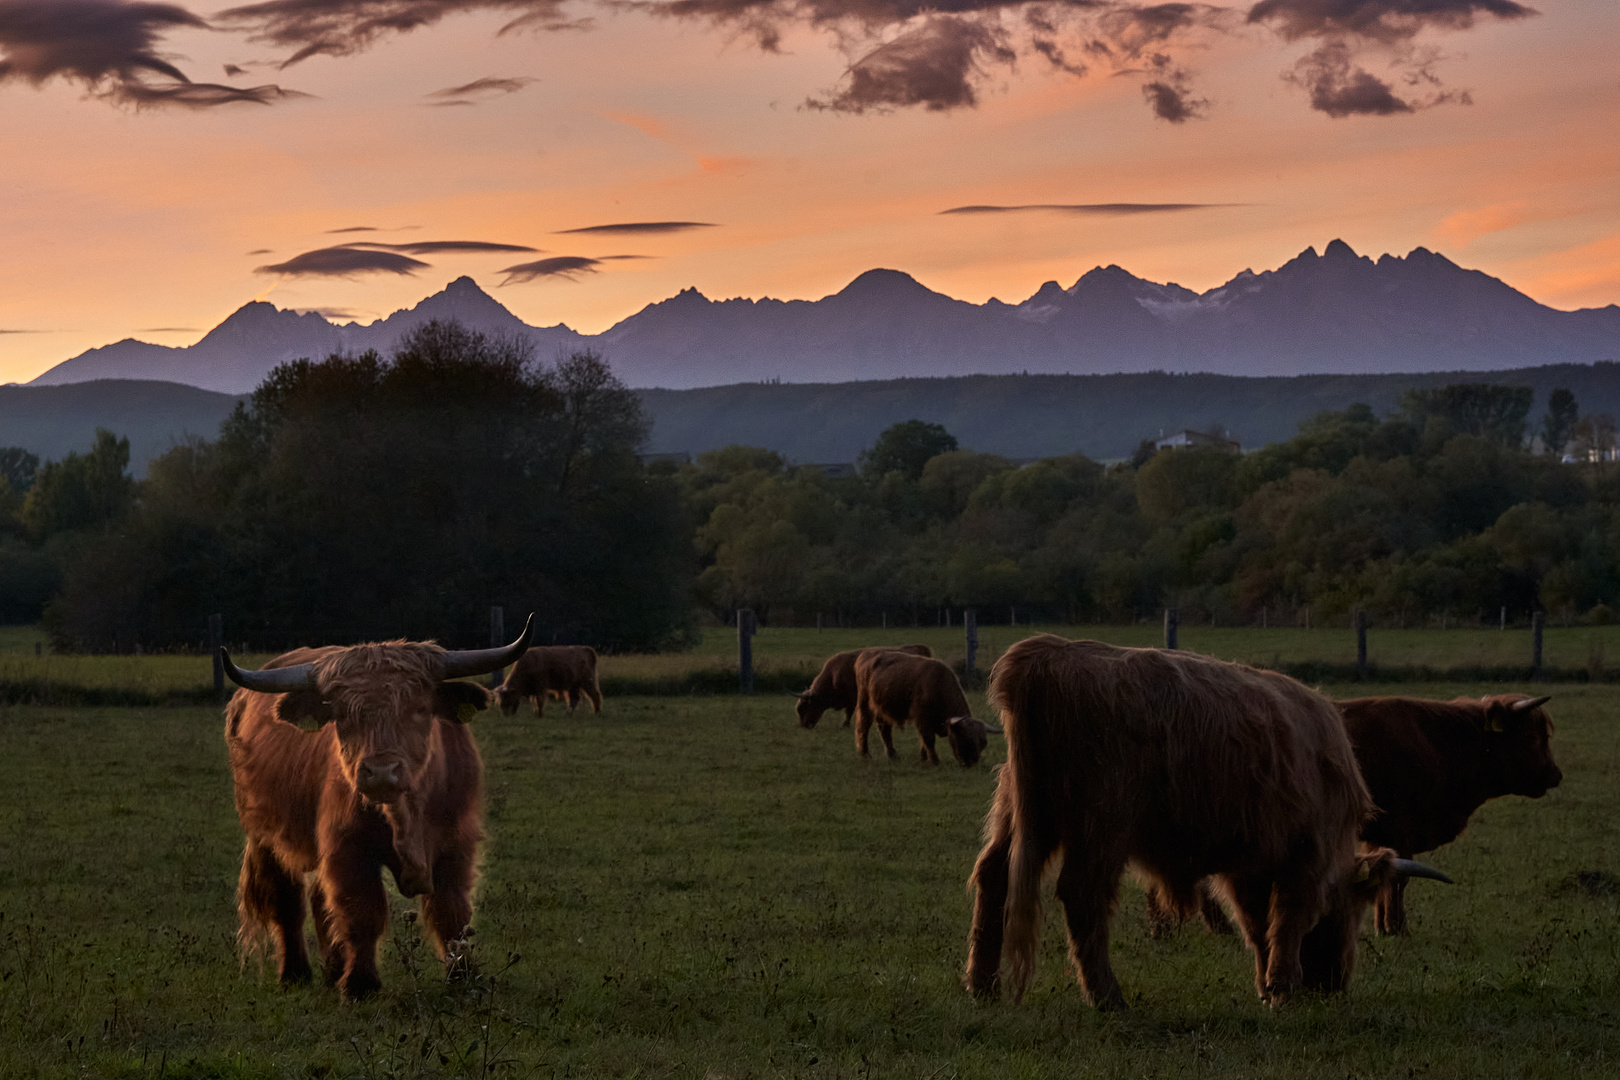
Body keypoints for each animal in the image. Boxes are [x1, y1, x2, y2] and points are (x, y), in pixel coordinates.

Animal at [221, 621, 534, 1003]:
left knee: (319, 900)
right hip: (265, 835)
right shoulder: (348, 849)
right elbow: (362, 912)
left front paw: (463, 977)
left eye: (419, 708)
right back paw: (294, 973)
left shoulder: (457, 845)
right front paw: (360, 984)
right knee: (286, 899)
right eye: (342, 714)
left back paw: (332, 971)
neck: (407, 817)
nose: (382, 772)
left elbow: (452, 912)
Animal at [790, 647, 933, 731]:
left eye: (802, 708)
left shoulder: (852, 698)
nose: (803, 726)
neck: (833, 675)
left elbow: (849, 712)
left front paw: (845, 725)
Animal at [848, 647, 984, 764]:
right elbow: (928, 738)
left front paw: (924, 758)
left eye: (982, 743)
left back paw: (892, 755)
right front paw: (934, 761)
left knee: (884, 729)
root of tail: (864, 655)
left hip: (881, 708)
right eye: (966, 738)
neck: (938, 684)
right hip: (864, 704)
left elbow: (924, 741)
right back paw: (865, 754)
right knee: (863, 726)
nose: (972, 761)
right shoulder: (922, 718)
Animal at [965, 637, 1451, 1010]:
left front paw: (1267, 986)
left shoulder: (1251, 863)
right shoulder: (1305, 854)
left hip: (1021, 810)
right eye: (1350, 913)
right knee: (1083, 893)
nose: (1332, 984)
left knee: (993, 876)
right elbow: (1288, 919)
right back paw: (1108, 997)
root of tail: (1049, 653)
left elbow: (1258, 925)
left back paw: (982, 986)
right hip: (1102, 823)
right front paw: (1283, 988)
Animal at [1341, 693, 1555, 939]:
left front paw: (1383, 928)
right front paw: (1397, 928)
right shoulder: (1399, 830)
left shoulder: (1381, 835)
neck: (1436, 742)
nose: (1555, 774)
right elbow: (1397, 878)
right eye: (1531, 736)